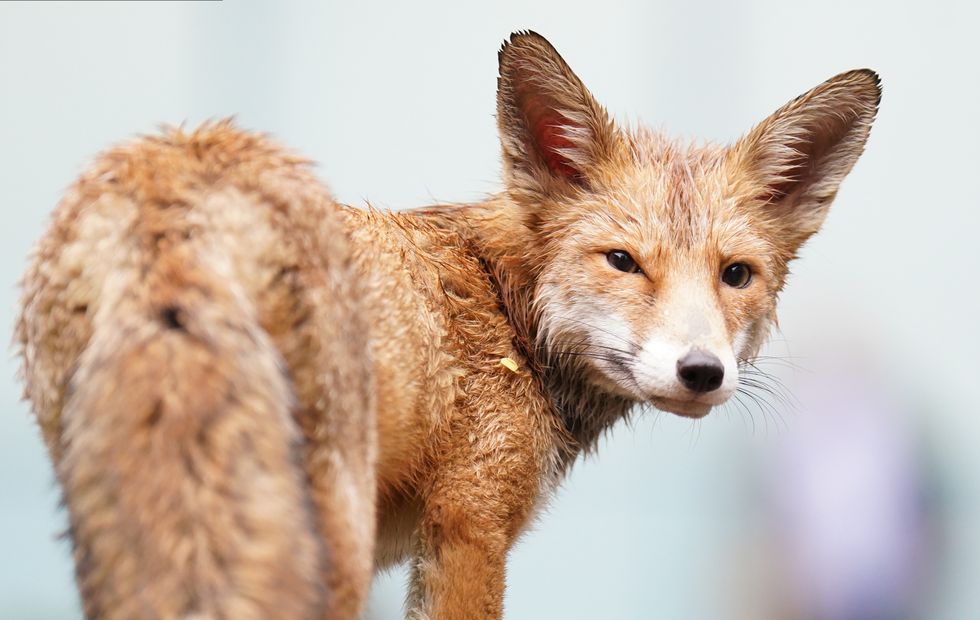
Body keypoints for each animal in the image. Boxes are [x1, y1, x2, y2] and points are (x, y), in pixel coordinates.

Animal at [17, 31, 880, 620]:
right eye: (623, 262)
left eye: (736, 275)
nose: (701, 371)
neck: (510, 310)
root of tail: (180, 181)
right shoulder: (469, 528)